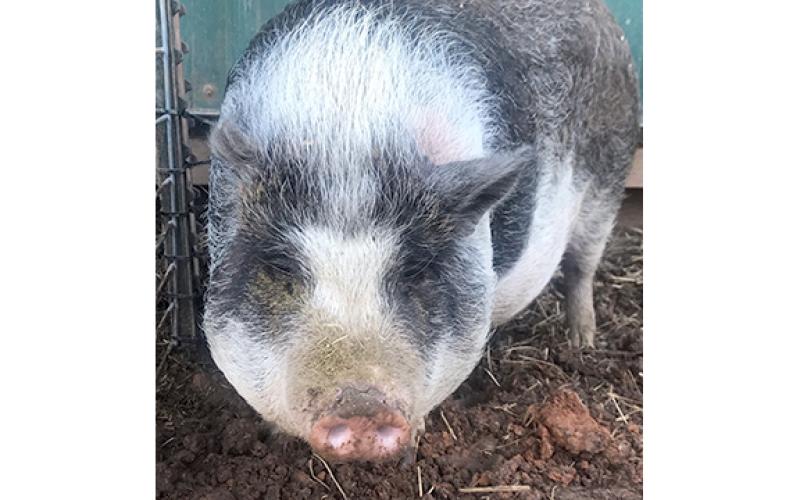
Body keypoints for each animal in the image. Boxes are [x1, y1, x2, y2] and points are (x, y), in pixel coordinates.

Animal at [204, 0, 639, 462]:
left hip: (606, 185)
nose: (361, 407)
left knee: (581, 267)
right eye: (280, 268)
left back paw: (582, 342)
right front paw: (272, 436)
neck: (349, 134)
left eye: (417, 271)